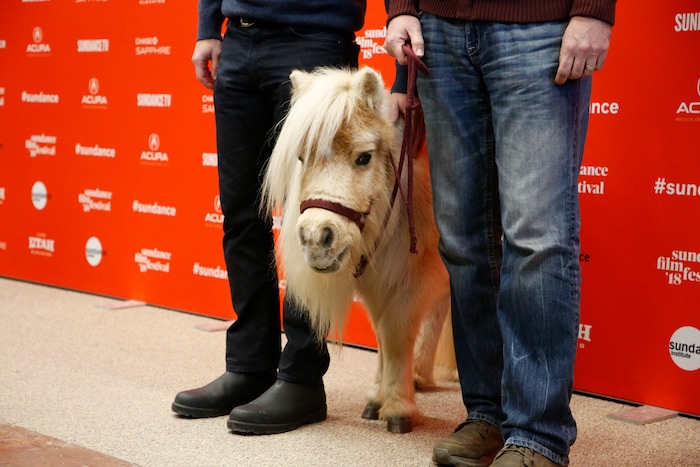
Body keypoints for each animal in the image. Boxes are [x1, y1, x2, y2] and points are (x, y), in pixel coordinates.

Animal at [261, 66, 451, 433]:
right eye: (302, 157)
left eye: (364, 157)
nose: (316, 237)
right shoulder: (381, 279)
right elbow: (382, 337)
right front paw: (377, 398)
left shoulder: (416, 279)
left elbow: (396, 334)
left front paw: (398, 408)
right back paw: (421, 375)